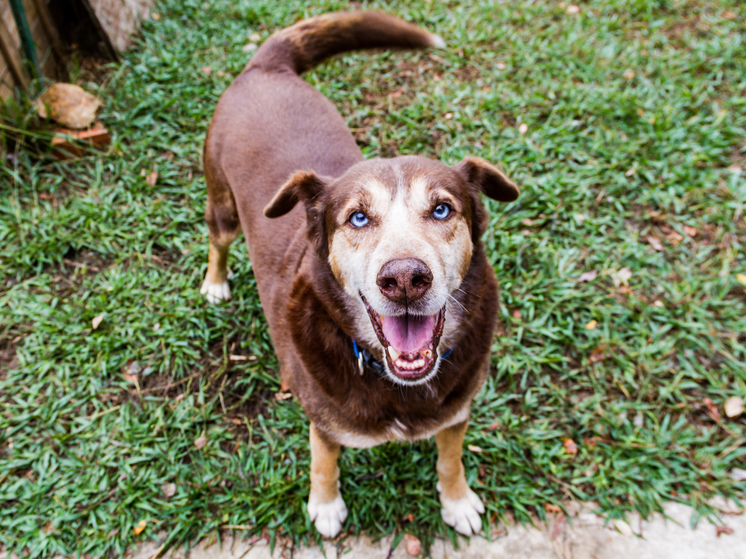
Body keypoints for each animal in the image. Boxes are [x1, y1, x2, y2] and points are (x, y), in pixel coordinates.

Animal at [201, 12, 520, 540]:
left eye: (442, 209)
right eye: (357, 217)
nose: (405, 279)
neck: (394, 381)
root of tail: (266, 66)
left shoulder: (456, 412)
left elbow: (450, 459)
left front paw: (457, 501)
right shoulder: (323, 423)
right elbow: (322, 463)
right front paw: (326, 506)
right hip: (223, 208)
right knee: (218, 240)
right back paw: (214, 282)